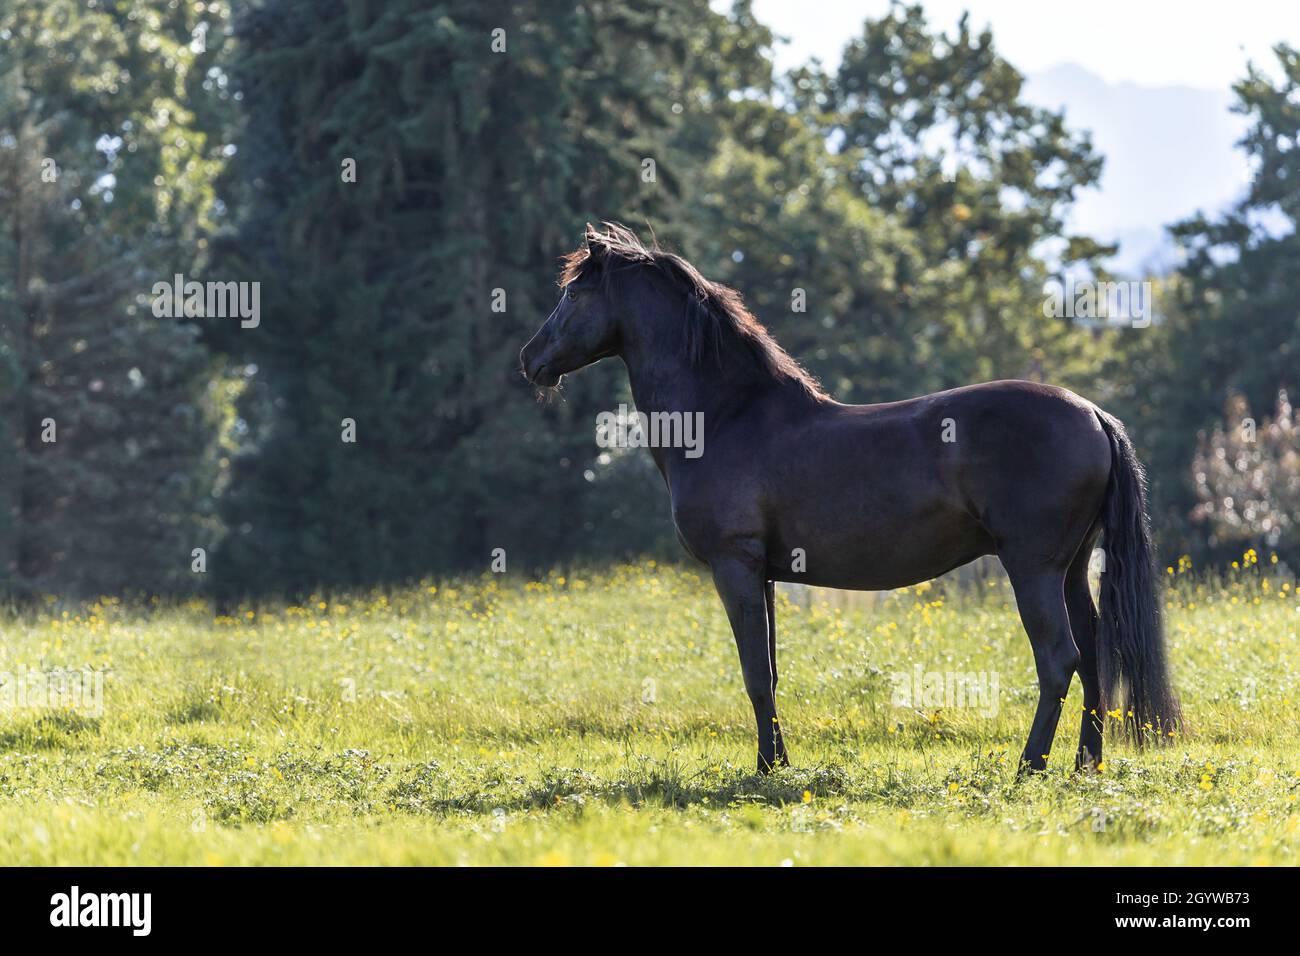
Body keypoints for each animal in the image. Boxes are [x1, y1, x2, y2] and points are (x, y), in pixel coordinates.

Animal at [517, 226, 1180, 780]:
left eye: (573, 291)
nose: (530, 359)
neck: (728, 416)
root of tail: (1092, 413)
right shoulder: (765, 575)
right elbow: (770, 671)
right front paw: (778, 764)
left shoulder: (735, 565)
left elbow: (753, 673)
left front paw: (765, 770)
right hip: (1071, 569)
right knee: (1093, 658)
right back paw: (1086, 765)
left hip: (1033, 567)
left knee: (1059, 659)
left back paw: (1029, 767)